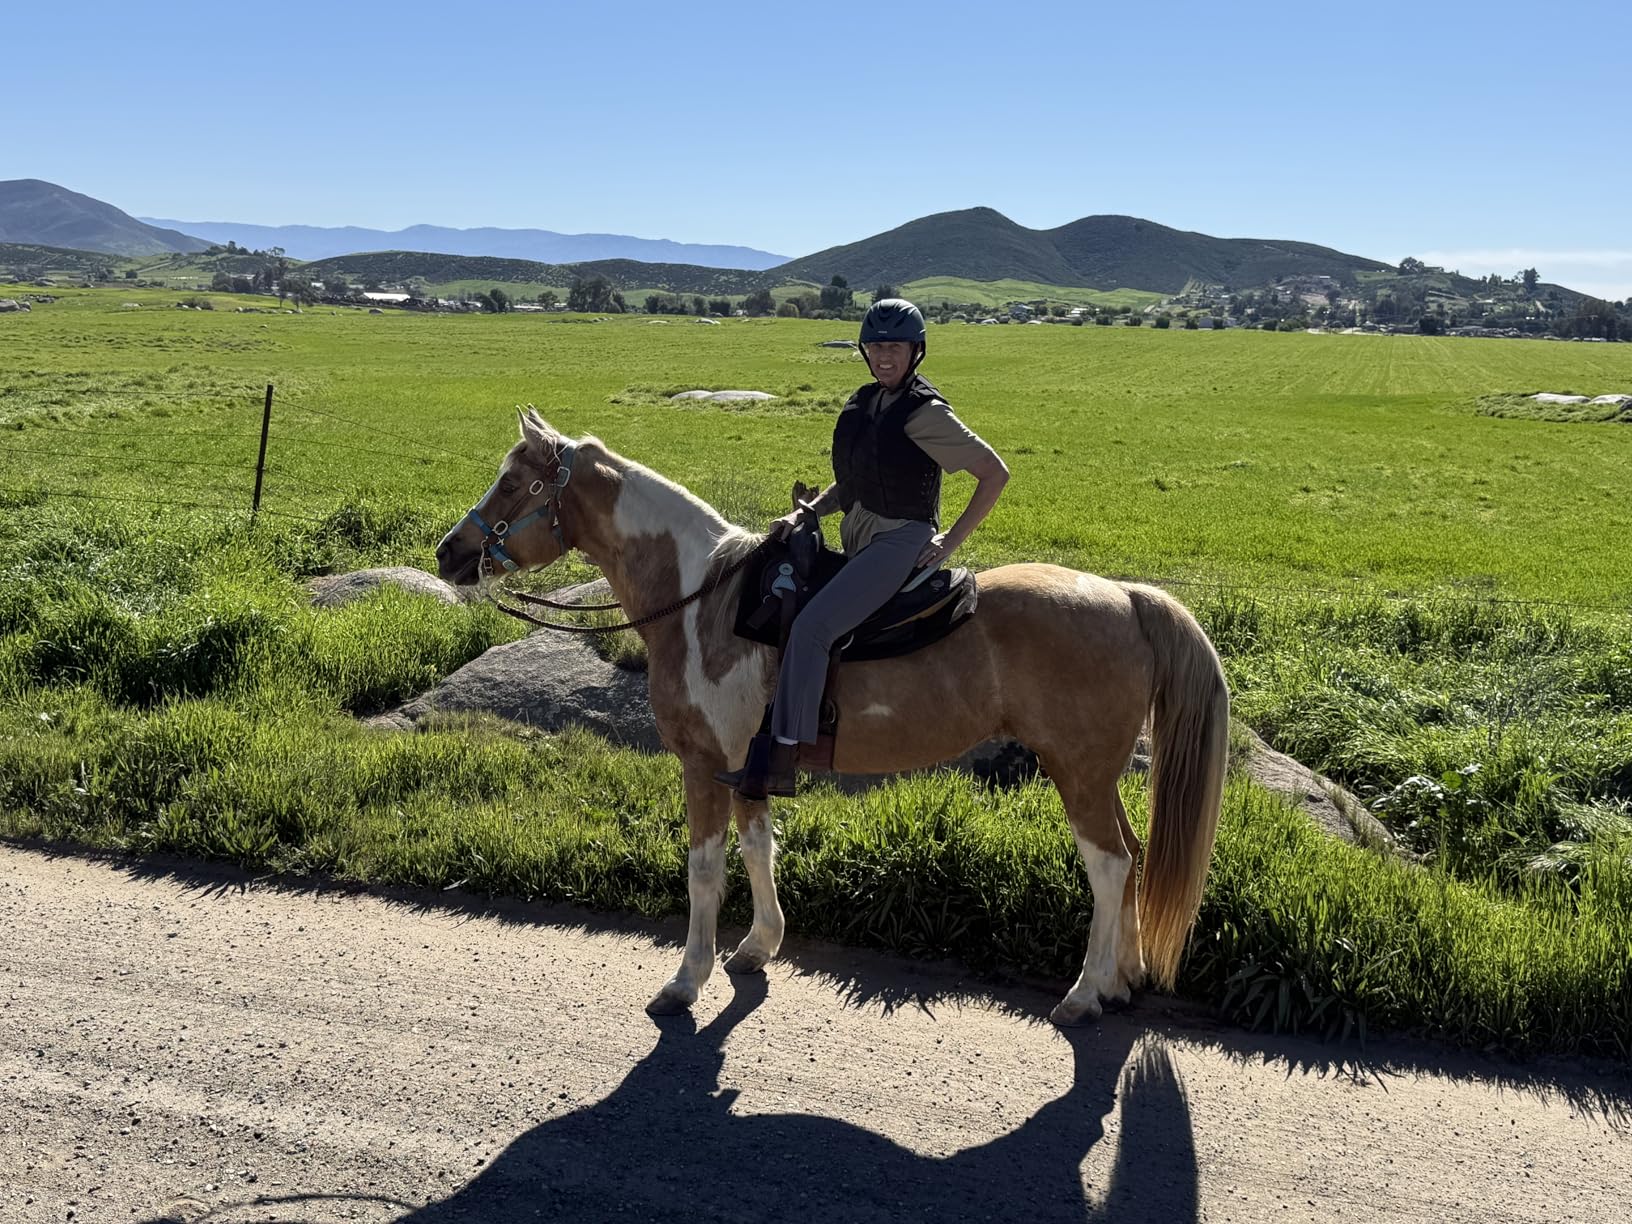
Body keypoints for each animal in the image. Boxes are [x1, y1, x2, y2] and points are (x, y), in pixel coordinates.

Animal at [436, 408, 1229, 1026]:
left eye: (516, 482)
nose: (450, 553)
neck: (701, 600)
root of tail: (1128, 597)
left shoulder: (704, 765)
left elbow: (703, 870)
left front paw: (685, 981)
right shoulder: (748, 766)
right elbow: (758, 848)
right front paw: (758, 946)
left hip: (1077, 773)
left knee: (1109, 865)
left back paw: (1085, 994)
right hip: (1095, 775)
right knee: (1132, 858)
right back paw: (1121, 981)